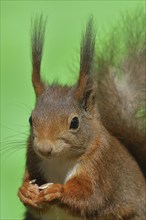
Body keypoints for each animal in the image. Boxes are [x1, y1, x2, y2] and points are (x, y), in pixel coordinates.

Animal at [18, 12, 146, 220]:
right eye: (31, 119)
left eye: (75, 122)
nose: (44, 149)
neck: (61, 160)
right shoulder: (33, 158)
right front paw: (25, 191)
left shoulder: (100, 166)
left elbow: (91, 198)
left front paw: (57, 191)